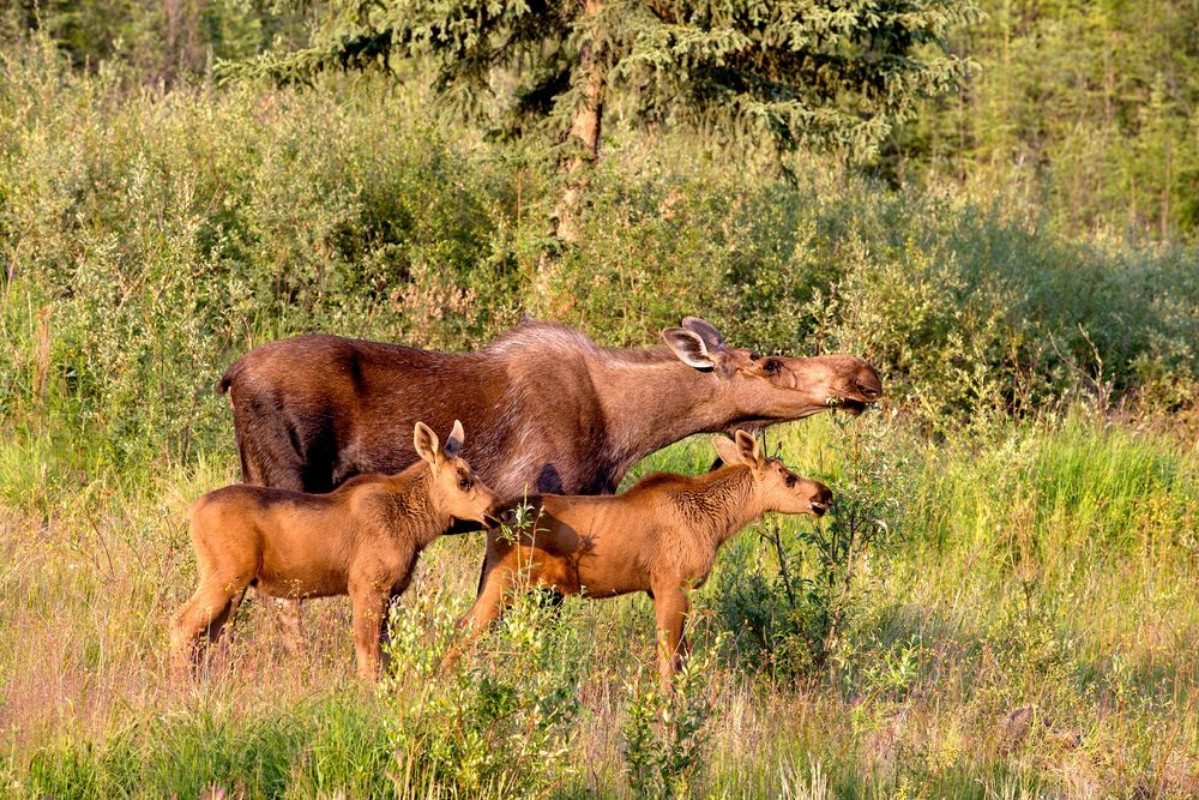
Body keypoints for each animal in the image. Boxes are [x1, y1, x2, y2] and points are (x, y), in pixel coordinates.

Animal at [169, 420, 502, 682]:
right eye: (463, 480)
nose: (498, 509)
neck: (416, 528)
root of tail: (192, 512)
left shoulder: (392, 591)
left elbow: (385, 655)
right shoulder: (367, 586)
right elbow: (368, 654)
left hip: (234, 588)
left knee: (207, 635)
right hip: (224, 575)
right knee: (183, 623)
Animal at [441, 429, 834, 688]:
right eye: (788, 477)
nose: (825, 494)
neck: (717, 522)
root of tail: (495, 518)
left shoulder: (659, 589)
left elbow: (679, 657)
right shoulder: (671, 583)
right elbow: (669, 660)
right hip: (505, 582)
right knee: (463, 629)